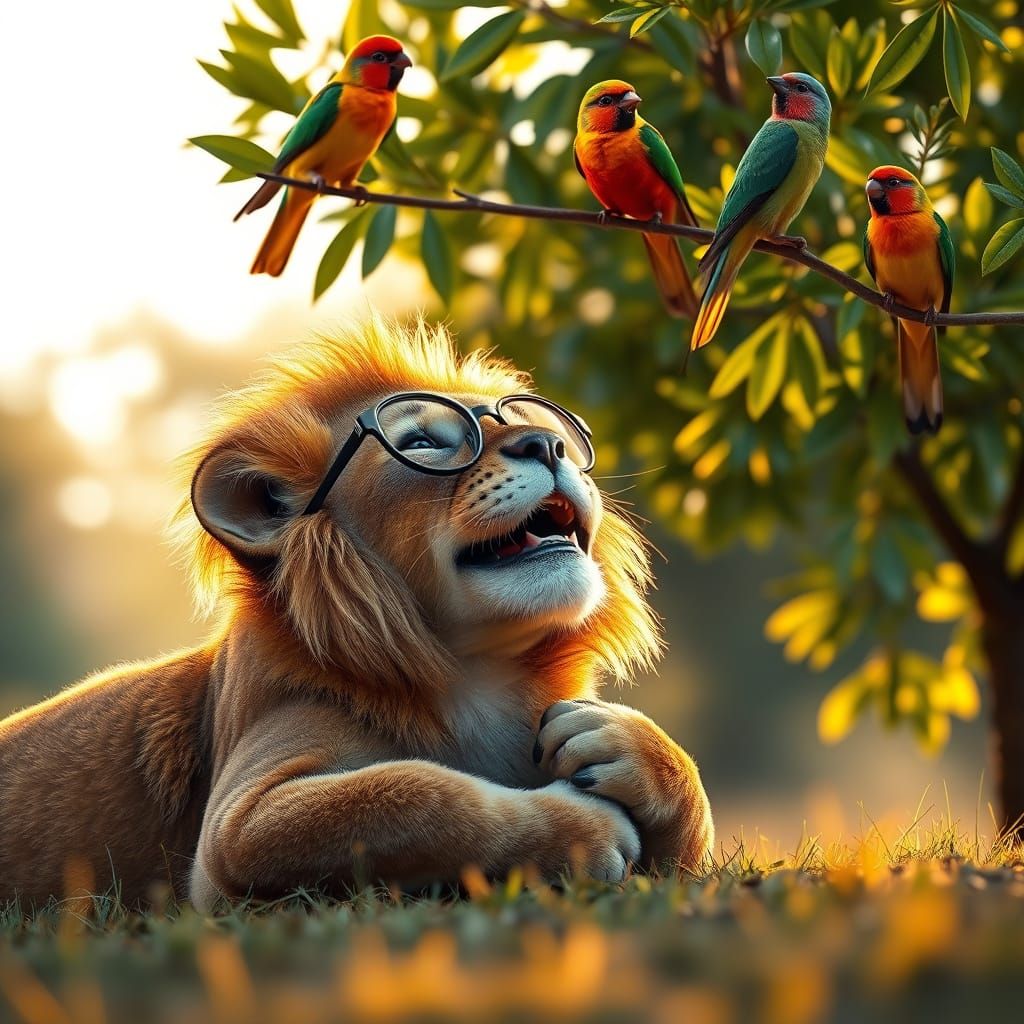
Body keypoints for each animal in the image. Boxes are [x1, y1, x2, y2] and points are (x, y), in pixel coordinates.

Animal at [0, 316, 712, 909]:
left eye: (550, 427)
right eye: (423, 440)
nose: (549, 444)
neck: (481, 674)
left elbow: (696, 839)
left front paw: (623, 741)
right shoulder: (237, 831)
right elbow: (417, 798)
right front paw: (586, 832)